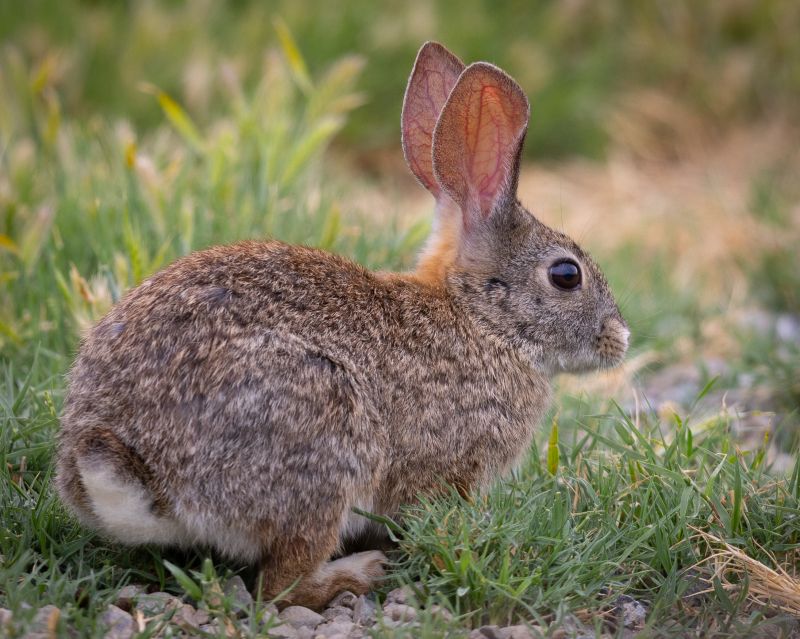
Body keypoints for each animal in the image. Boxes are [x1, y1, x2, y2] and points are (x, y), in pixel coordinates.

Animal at [56, 42, 629, 610]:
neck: (480, 319)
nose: (621, 338)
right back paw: (359, 573)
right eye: (566, 275)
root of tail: (142, 478)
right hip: (326, 447)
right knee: (279, 586)